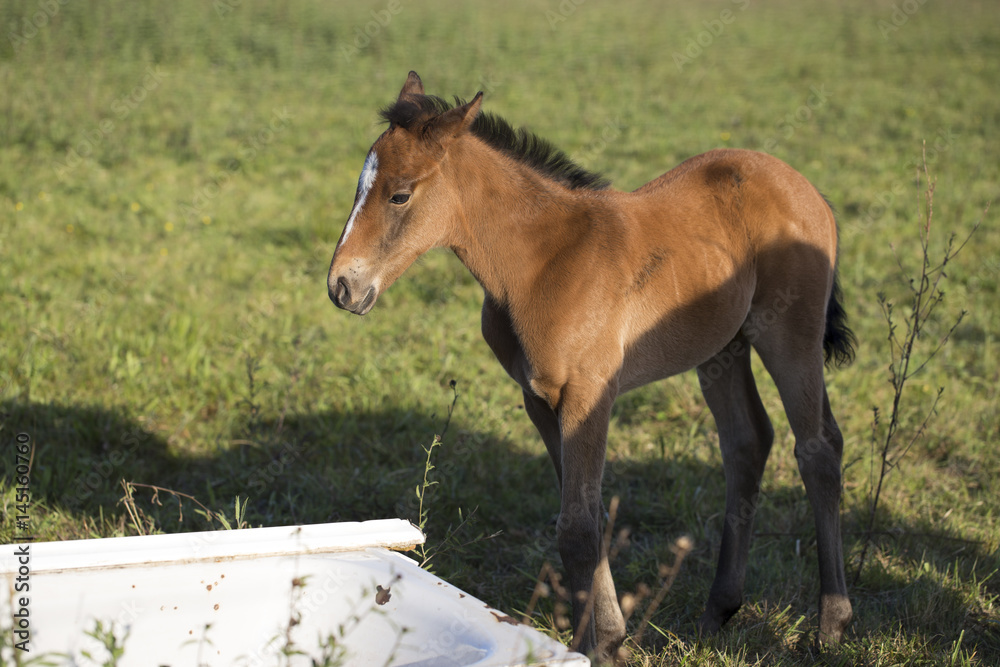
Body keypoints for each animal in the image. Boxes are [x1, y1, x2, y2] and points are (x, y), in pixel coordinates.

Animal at [327, 71, 855, 662]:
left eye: (400, 194)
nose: (342, 286)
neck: (543, 262)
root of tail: (804, 186)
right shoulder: (539, 397)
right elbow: (581, 514)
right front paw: (607, 636)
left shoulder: (589, 392)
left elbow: (578, 526)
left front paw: (594, 647)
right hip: (722, 348)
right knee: (747, 442)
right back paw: (719, 610)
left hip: (790, 333)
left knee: (818, 449)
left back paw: (831, 624)